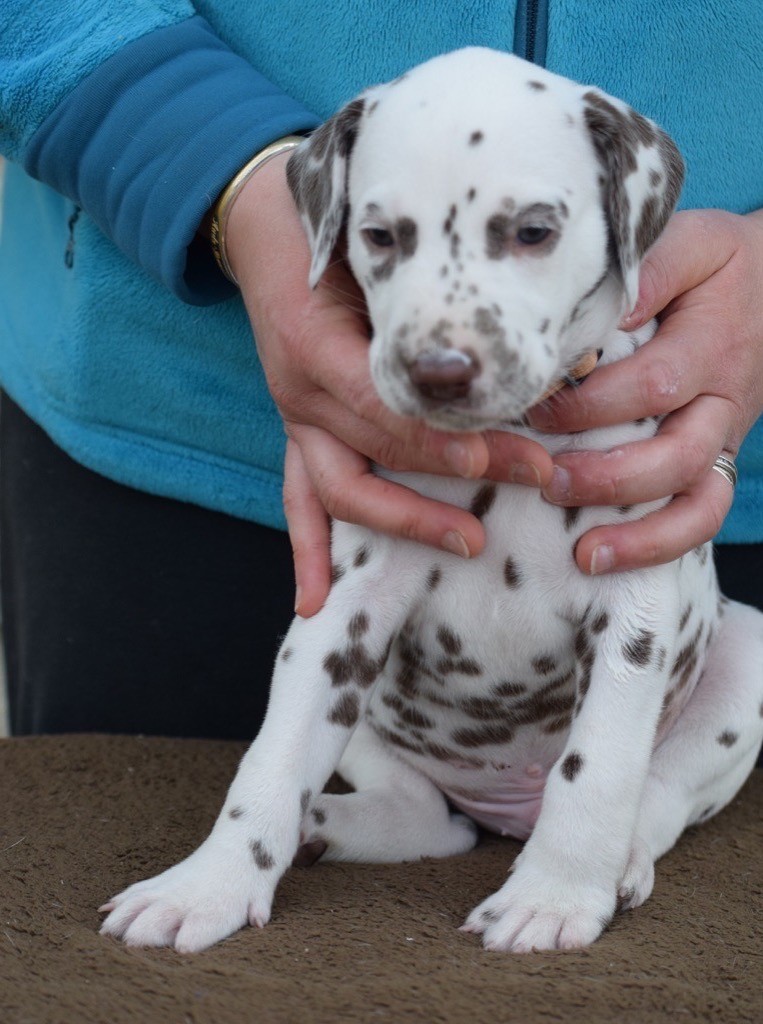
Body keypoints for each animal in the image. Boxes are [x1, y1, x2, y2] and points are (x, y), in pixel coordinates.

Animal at [100, 48, 763, 953]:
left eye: (532, 231)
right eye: (380, 236)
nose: (438, 372)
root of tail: (504, 810)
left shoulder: (632, 606)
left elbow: (598, 768)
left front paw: (554, 897)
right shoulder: (342, 609)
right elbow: (271, 757)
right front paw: (210, 883)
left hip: (745, 660)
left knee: (655, 795)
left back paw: (617, 863)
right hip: (372, 716)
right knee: (428, 819)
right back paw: (326, 827)